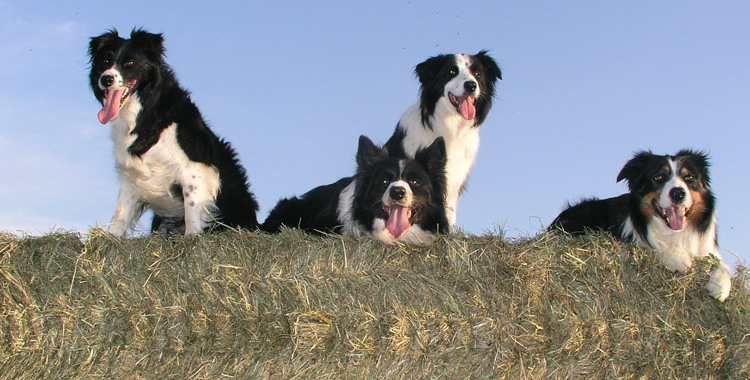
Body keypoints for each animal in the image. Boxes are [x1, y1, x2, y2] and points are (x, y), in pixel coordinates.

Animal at [86, 29, 258, 236]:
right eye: (105, 61)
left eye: (130, 63)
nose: (106, 79)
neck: (145, 113)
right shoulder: (131, 178)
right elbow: (119, 218)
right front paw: (108, 239)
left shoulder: (194, 170)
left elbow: (192, 216)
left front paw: (191, 239)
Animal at [548, 150, 732, 302]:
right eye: (658, 178)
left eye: (689, 178)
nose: (678, 193)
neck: (674, 233)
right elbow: (655, 247)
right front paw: (678, 260)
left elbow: (724, 265)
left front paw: (720, 286)